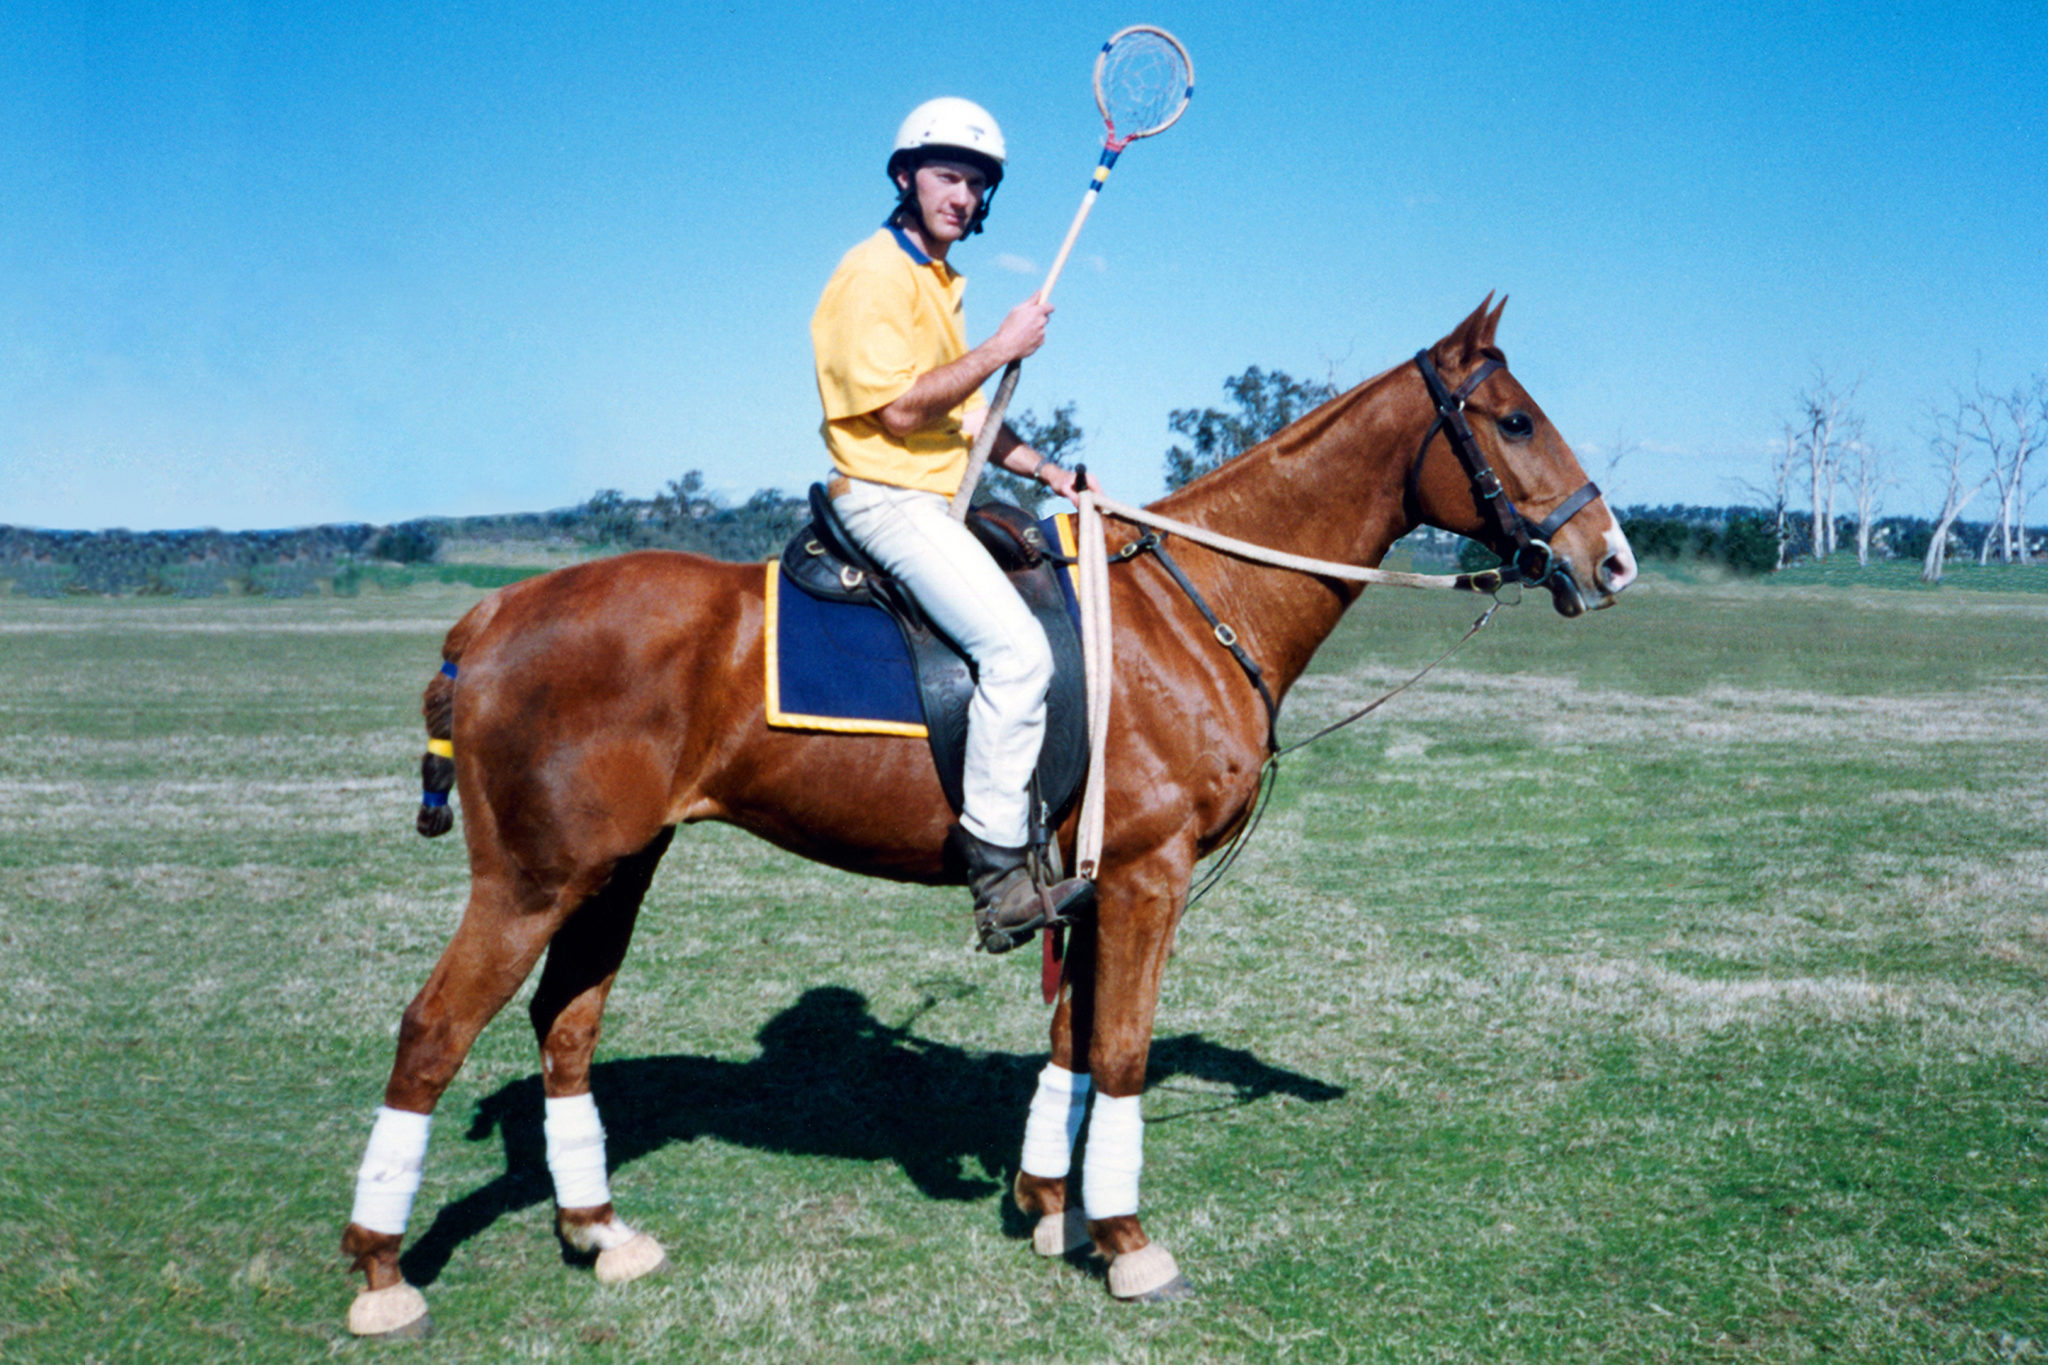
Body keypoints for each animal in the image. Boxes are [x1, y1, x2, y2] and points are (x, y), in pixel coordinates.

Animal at [344, 298, 1638, 1334]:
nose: (1611, 560)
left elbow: (1068, 1043)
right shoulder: (1148, 871)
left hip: (618, 865)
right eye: (1512, 420)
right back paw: (381, 1275)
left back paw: (601, 1234)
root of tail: (488, 615)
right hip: (530, 877)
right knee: (431, 1030)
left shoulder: (1088, 880)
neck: (1194, 606)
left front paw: (1049, 1209)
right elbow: (1118, 1050)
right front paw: (1127, 1248)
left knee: (564, 1026)